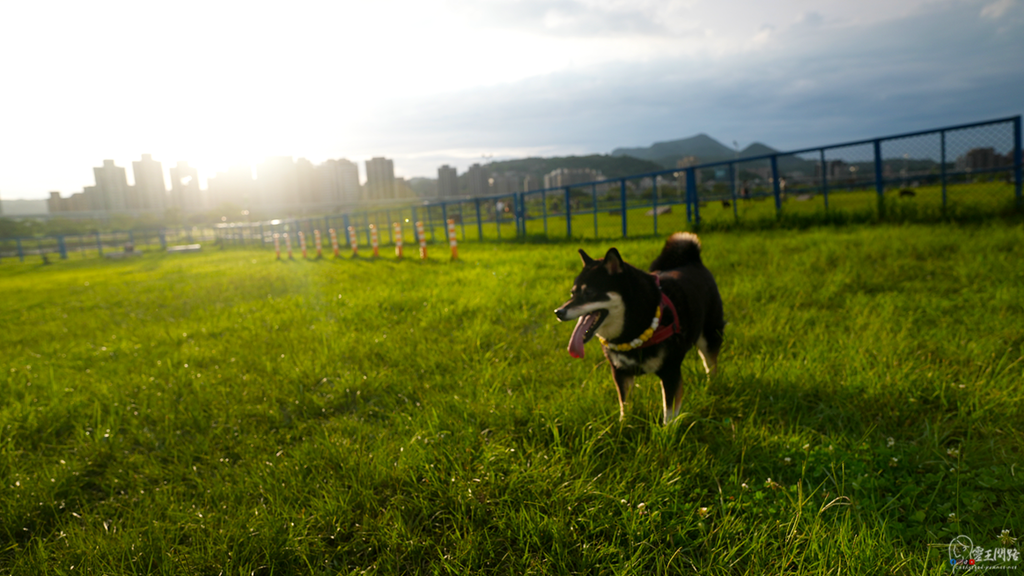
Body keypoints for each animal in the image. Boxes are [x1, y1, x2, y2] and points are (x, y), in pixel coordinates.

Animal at [557, 229, 724, 422]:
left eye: (589, 292)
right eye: (573, 293)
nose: (558, 312)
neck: (632, 329)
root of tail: (692, 261)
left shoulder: (671, 370)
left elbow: (669, 412)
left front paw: (668, 430)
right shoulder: (621, 372)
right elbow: (625, 405)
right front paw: (624, 425)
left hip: (710, 335)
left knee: (711, 365)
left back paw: (711, 388)